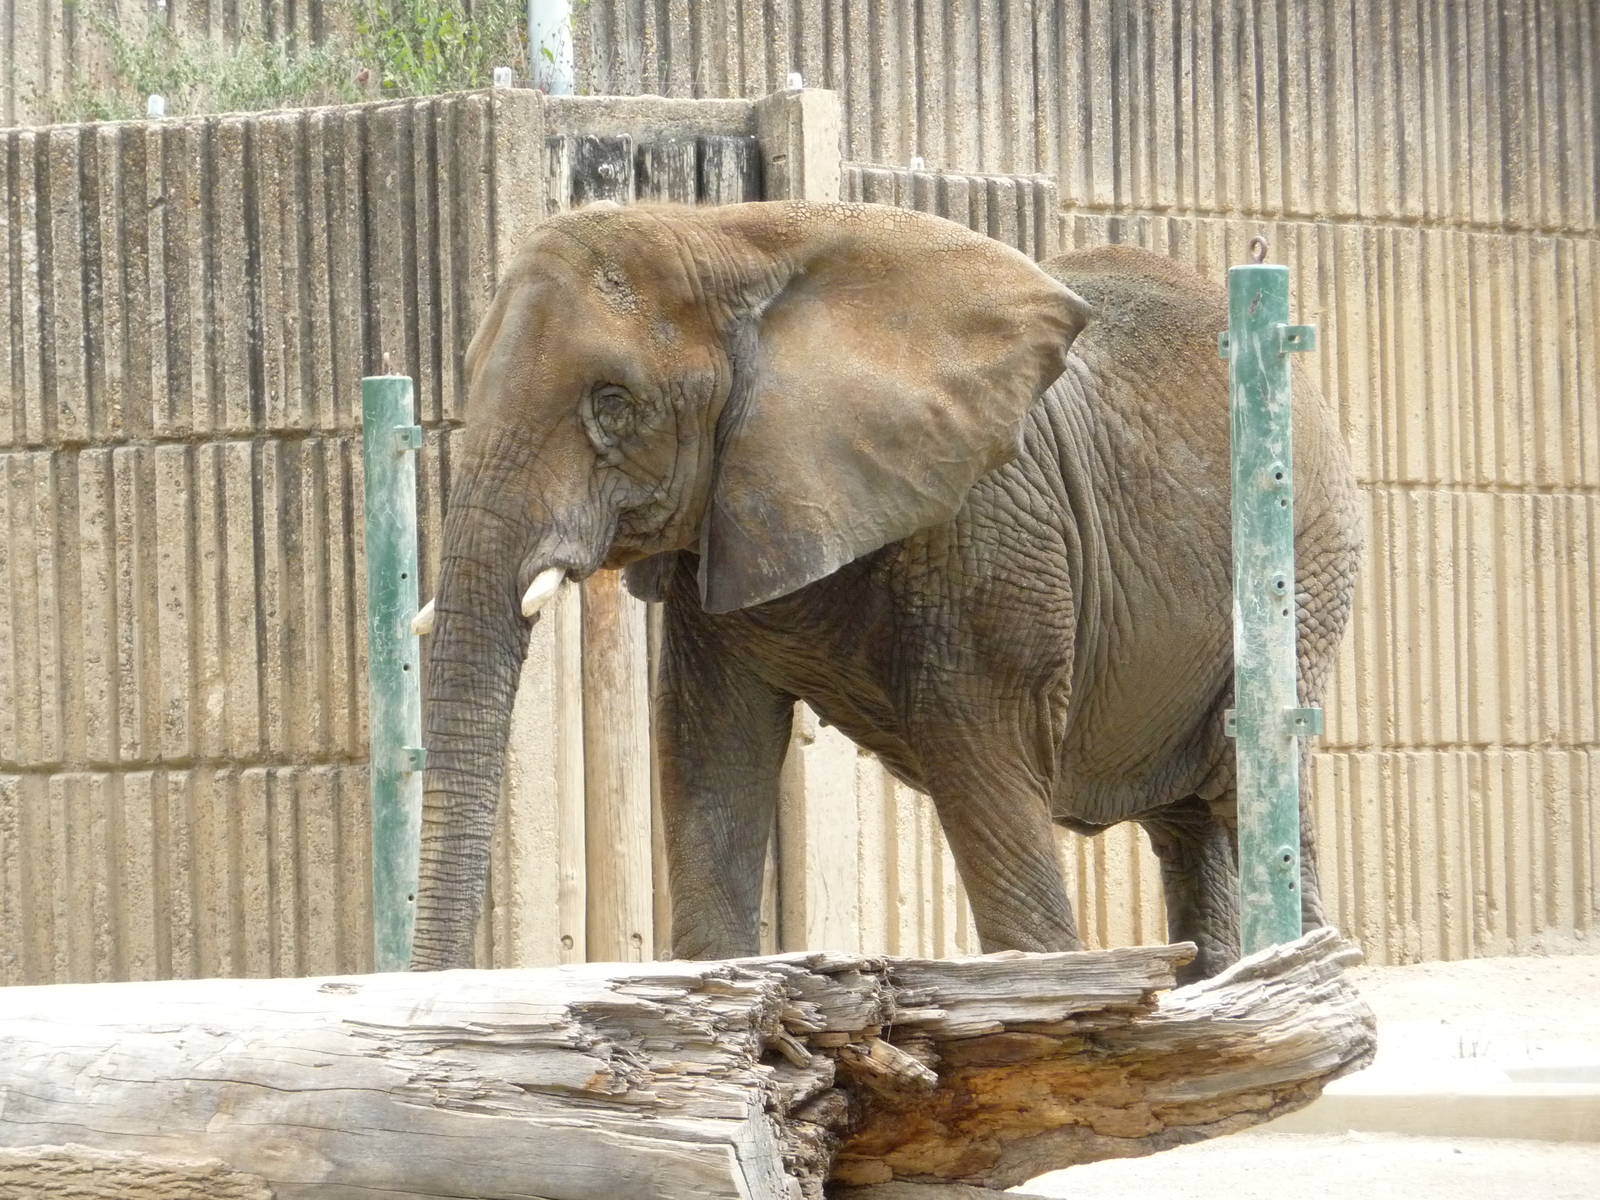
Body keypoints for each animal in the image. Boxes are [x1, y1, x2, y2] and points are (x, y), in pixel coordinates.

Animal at [408, 199, 1361, 982]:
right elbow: (708, 749)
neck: (730, 236)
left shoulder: (988, 525)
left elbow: (983, 757)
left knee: (1245, 779)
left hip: (1301, 553)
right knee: (1190, 822)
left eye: (614, 403)